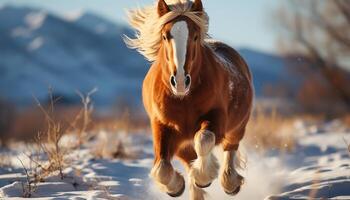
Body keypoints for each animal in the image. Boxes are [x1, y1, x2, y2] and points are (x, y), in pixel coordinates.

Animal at [124, 0, 253, 198]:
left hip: (237, 127)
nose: (179, 81)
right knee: (189, 161)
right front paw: (176, 186)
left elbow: (204, 139)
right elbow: (161, 168)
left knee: (229, 149)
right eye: (164, 36)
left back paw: (230, 182)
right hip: (184, 144)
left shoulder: (216, 118)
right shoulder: (162, 127)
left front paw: (203, 176)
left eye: (195, 36)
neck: (183, 99)